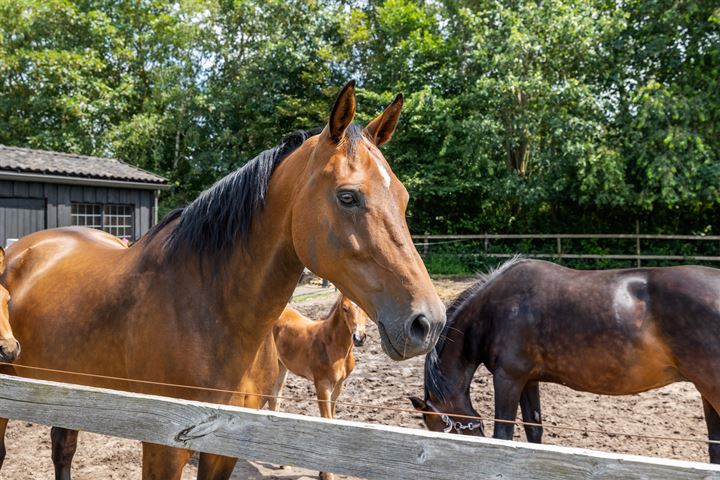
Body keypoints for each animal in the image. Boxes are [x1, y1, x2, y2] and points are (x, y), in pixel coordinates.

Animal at [0, 80, 448, 478]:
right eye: (348, 196)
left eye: (403, 197)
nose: (427, 322)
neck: (209, 311)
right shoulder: (164, 445)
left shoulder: (224, 445)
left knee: (63, 448)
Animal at [414, 256, 720, 464]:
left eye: (437, 425)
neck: (493, 309)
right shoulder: (527, 380)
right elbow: (534, 432)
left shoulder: (507, 378)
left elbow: (503, 434)